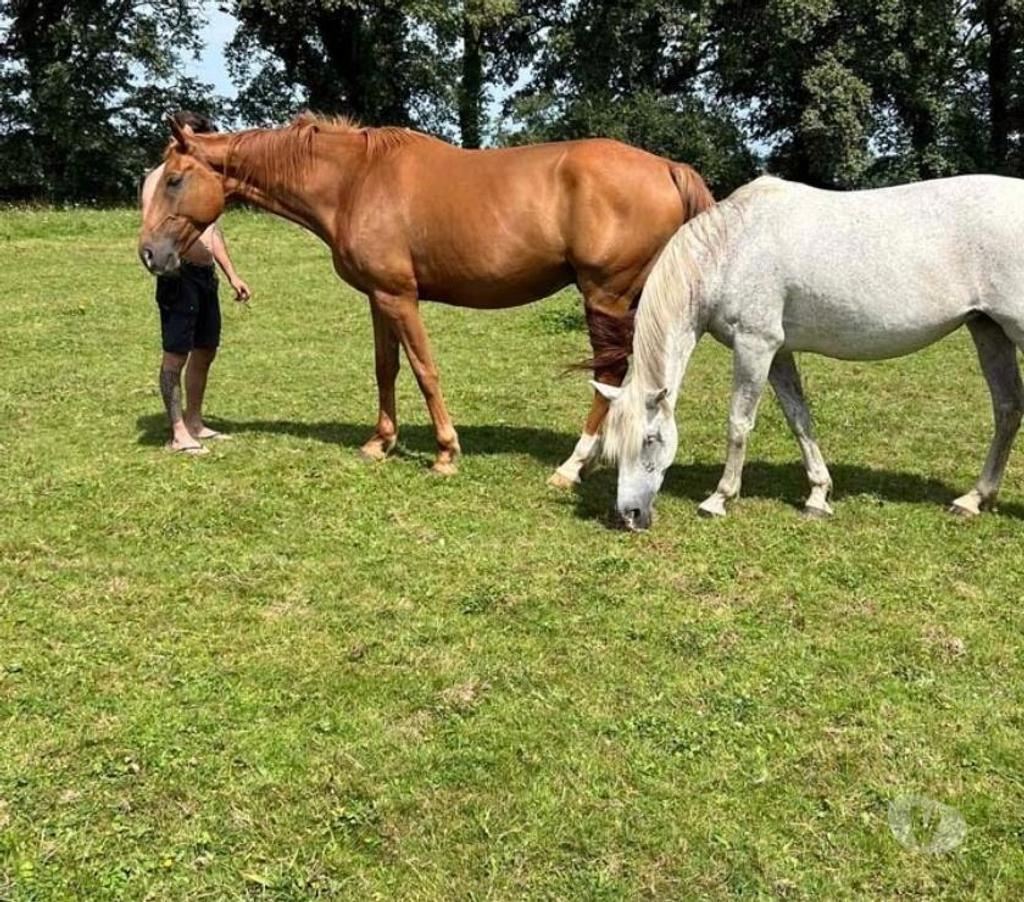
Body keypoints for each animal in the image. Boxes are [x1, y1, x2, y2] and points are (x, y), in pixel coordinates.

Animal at [137, 114, 713, 481]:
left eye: (174, 180)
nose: (149, 254)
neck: (354, 181)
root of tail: (667, 167)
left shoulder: (400, 297)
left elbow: (423, 369)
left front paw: (445, 452)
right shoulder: (379, 298)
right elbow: (385, 368)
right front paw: (380, 442)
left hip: (606, 297)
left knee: (611, 375)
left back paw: (572, 467)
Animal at [598, 174, 1024, 529]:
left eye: (650, 439)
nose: (629, 515)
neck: (729, 249)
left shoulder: (755, 345)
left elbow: (739, 423)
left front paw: (718, 498)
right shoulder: (778, 352)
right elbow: (799, 418)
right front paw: (818, 495)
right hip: (988, 329)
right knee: (1007, 408)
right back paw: (973, 499)